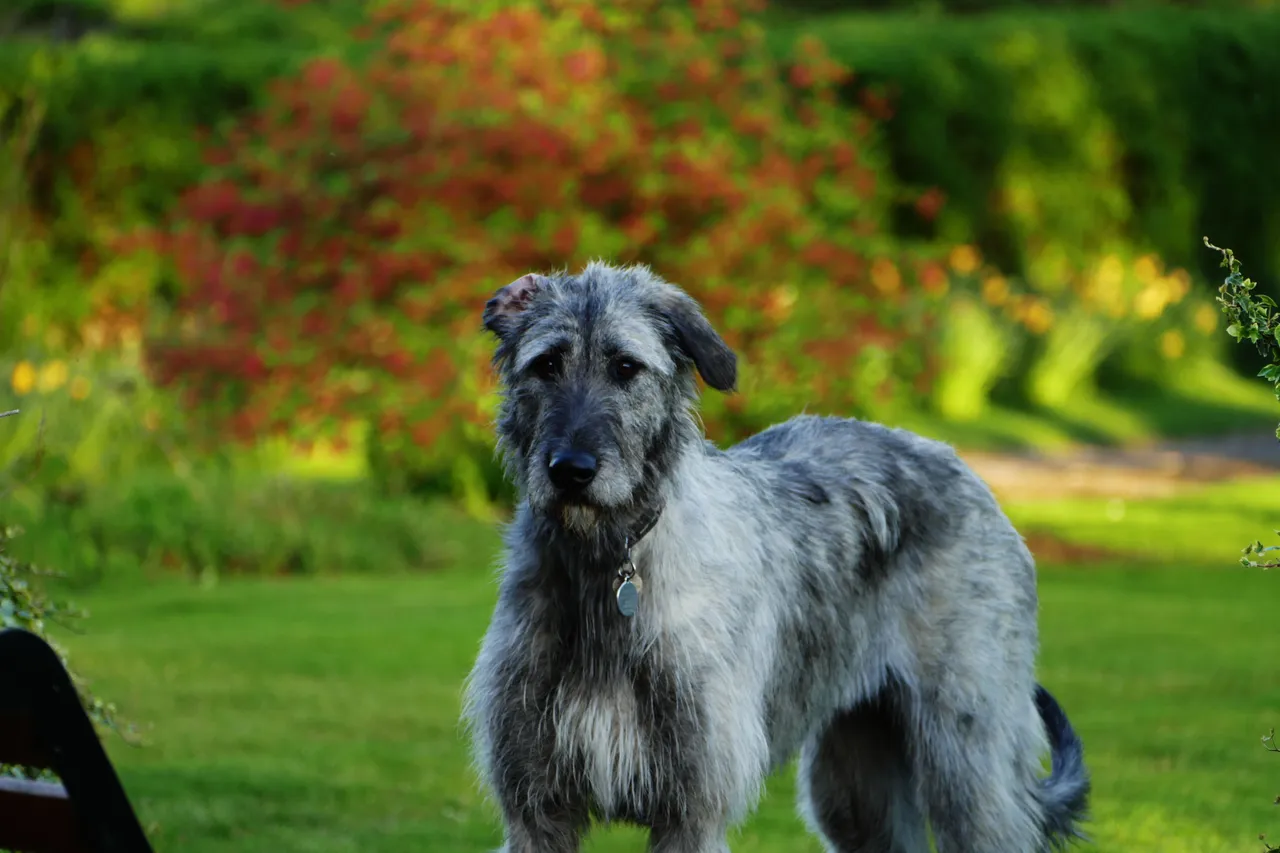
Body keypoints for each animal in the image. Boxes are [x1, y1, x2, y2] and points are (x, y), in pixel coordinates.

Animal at [463, 262, 1090, 845]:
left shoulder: (692, 812)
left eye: (625, 366)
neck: (608, 567)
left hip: (969, 764)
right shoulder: (536, 811)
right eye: (546, 364)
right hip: (857, 789)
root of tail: (961, 465)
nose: (571, 471)